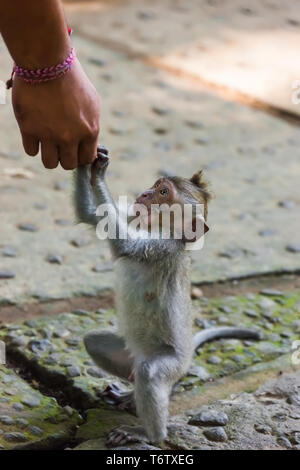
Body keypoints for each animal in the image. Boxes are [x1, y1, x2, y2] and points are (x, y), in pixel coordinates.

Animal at [74, 145, 262, 446]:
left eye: (163, 193)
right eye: (156, 185)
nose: (145, 193)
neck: (162, 230)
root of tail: (186, 357)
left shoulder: (161, 247)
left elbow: (124, 244)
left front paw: (99, 171)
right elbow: (91, 214)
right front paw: (86, 159)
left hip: (170, 363)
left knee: (150, 374)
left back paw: (147, 434)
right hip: (130, 354)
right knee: (97, 343)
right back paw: (132, 394)